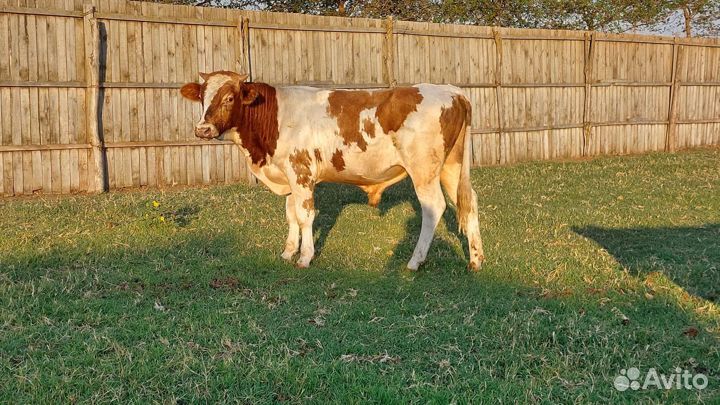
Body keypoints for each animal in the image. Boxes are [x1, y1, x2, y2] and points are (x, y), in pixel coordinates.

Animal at [180, 71, 484, 271]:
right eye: (202, 97)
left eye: (230, 98)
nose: (202, 129)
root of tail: (452, 91)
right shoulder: (289, 178)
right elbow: (291, 215)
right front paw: (288, 252)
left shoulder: (301, 172)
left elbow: (305, 216)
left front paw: (305, 257)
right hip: (451, 167)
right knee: (468, 202)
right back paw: (475, 259)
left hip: (424, 171)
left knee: (434, 208)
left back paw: (414, 261)